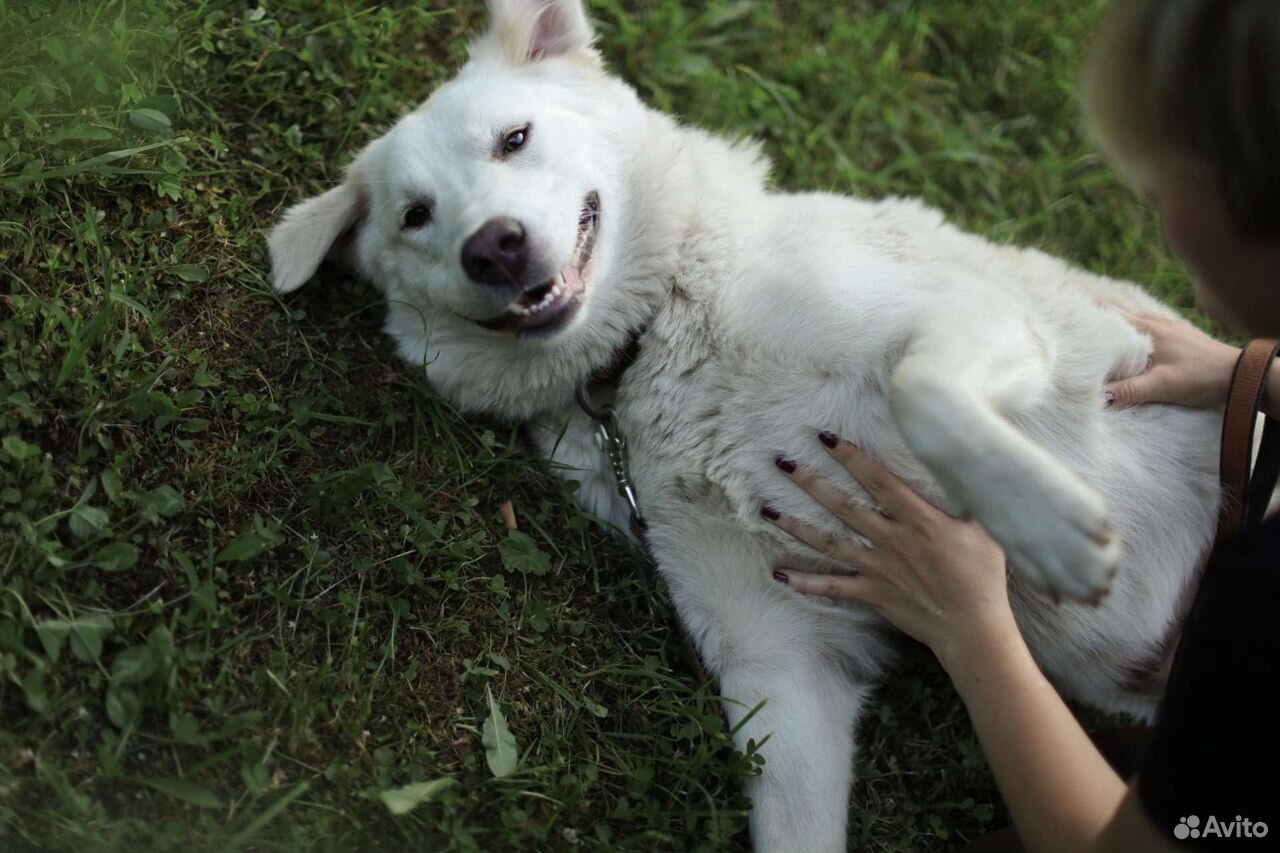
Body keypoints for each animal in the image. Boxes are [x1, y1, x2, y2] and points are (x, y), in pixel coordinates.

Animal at [267, 3, 1218, 845]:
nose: (493, 246)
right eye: (414, 215)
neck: (648, 350)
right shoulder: (782, 664)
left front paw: (1054, 530)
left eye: (514, 138)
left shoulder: (975, 317)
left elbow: (922, 389)